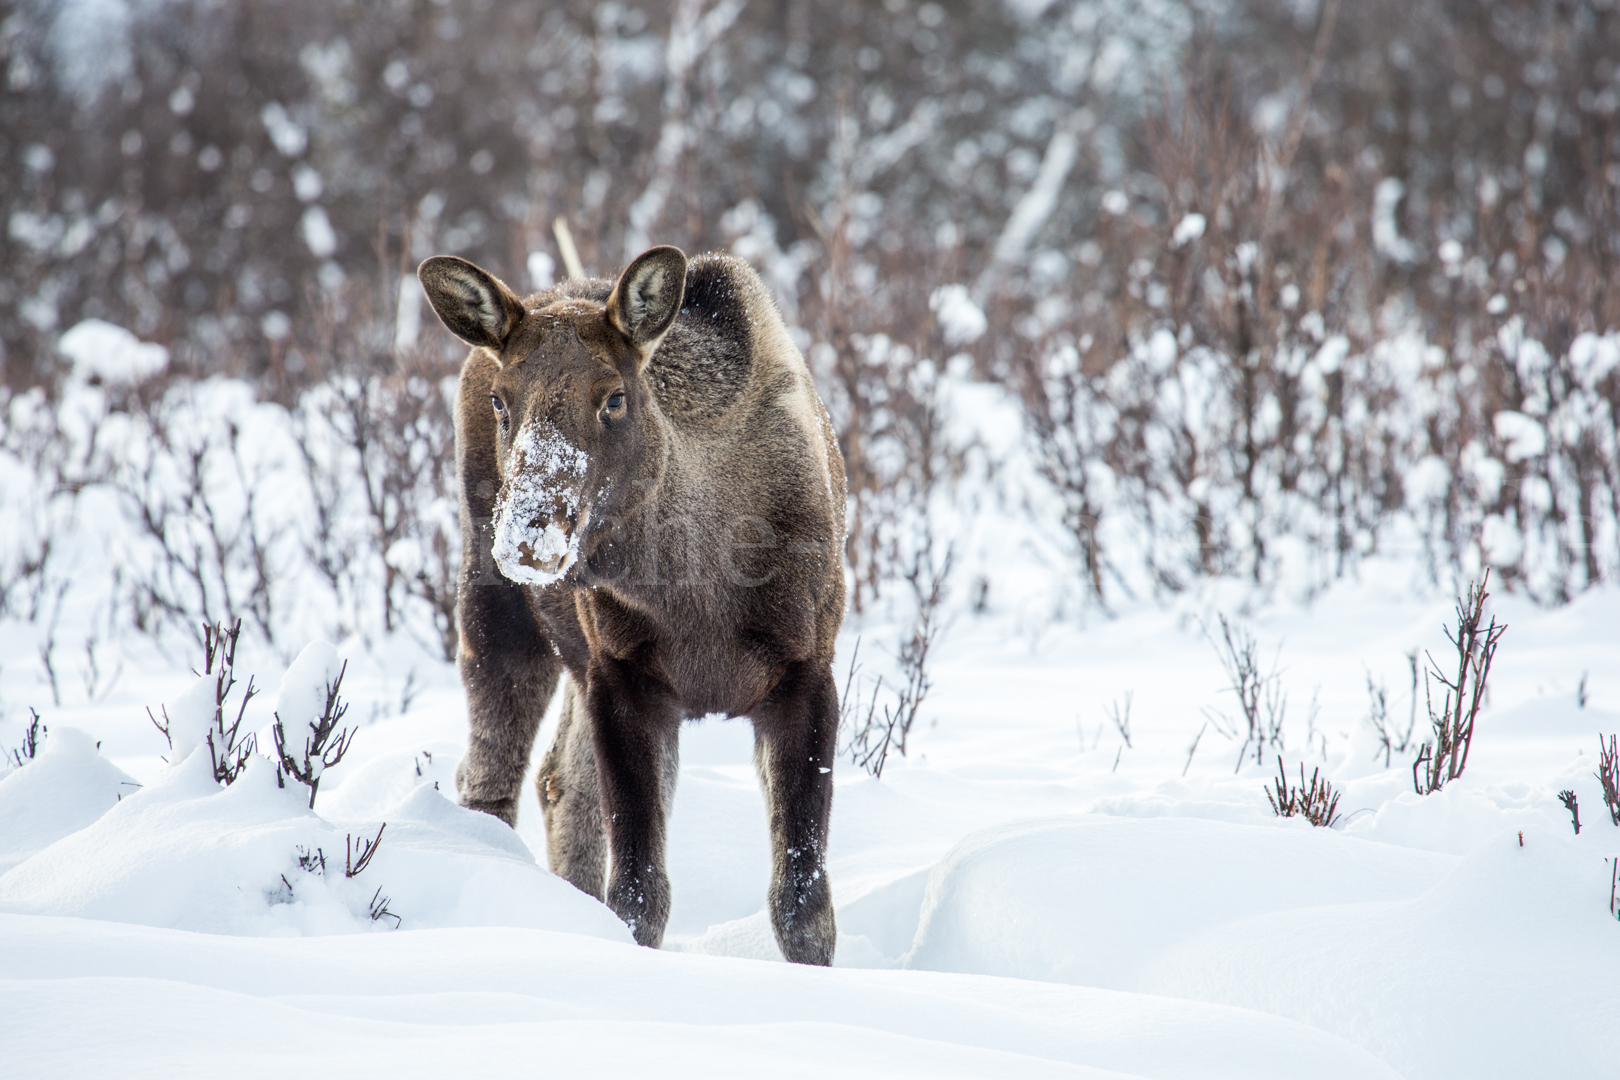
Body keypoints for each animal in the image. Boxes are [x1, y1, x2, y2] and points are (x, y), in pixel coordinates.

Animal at [417, 244, 848, 965]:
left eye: (614, 398)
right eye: (505, 403)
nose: (529, 536)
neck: (700, 588)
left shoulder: (805, 674)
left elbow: (803, 907)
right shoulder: (624, 679)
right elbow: (641, 897)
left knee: (559, 782)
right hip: (495, 610)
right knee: (492, 779)